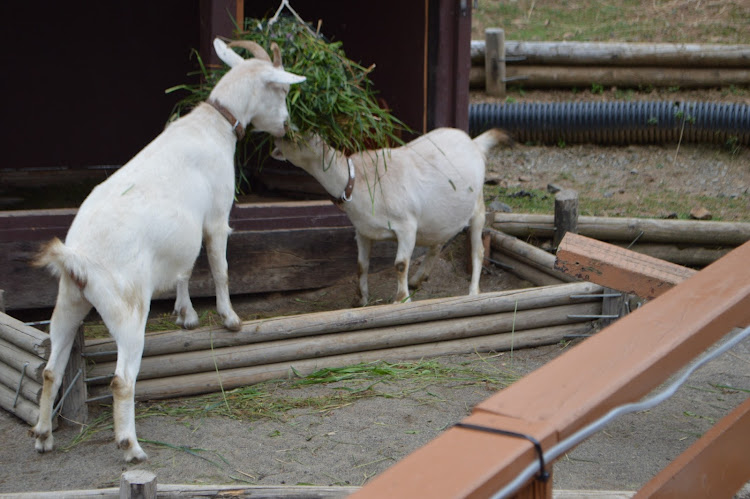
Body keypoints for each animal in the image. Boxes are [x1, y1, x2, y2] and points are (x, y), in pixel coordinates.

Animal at [29, 37, 306, 462]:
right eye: (281, 90)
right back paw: (131, 447)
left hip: (68, 302)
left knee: (49, 369)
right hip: (127, 311)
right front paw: (230, 319)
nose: (287, 125)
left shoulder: (184, 235)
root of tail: (79, 260)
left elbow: (185, 268)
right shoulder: (215, 217)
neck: (212, 125)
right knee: (121, 380)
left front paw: (185, 315)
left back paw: (44, 436)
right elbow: (220, 268)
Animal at [272, 127, 512, 306]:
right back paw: (417, 279)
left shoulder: (407, 226)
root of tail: (474, 142)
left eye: (308, 134)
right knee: (437, 243)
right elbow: (361, 265)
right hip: (441, 215)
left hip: (478, 207)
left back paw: (473, 292)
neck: (357, 180)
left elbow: (400, 264)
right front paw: (362, 300)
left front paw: (401, 299)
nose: (282, 133)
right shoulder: (362, 231)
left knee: (478, 250)